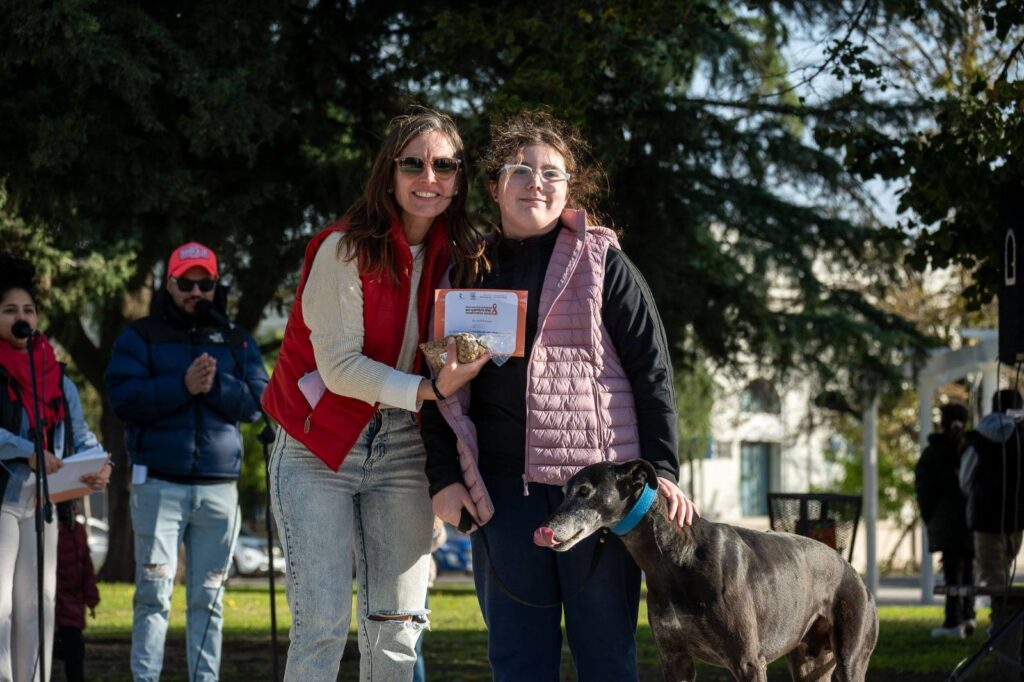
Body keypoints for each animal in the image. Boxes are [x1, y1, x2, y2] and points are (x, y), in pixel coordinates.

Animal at [533, 460, 878, 682]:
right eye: (564, 492)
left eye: (585, 491)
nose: (543, 530)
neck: (676, 557)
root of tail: (857, 577)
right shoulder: (675, 660)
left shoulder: (748, 663)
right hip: (808, 663)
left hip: (850, 659)